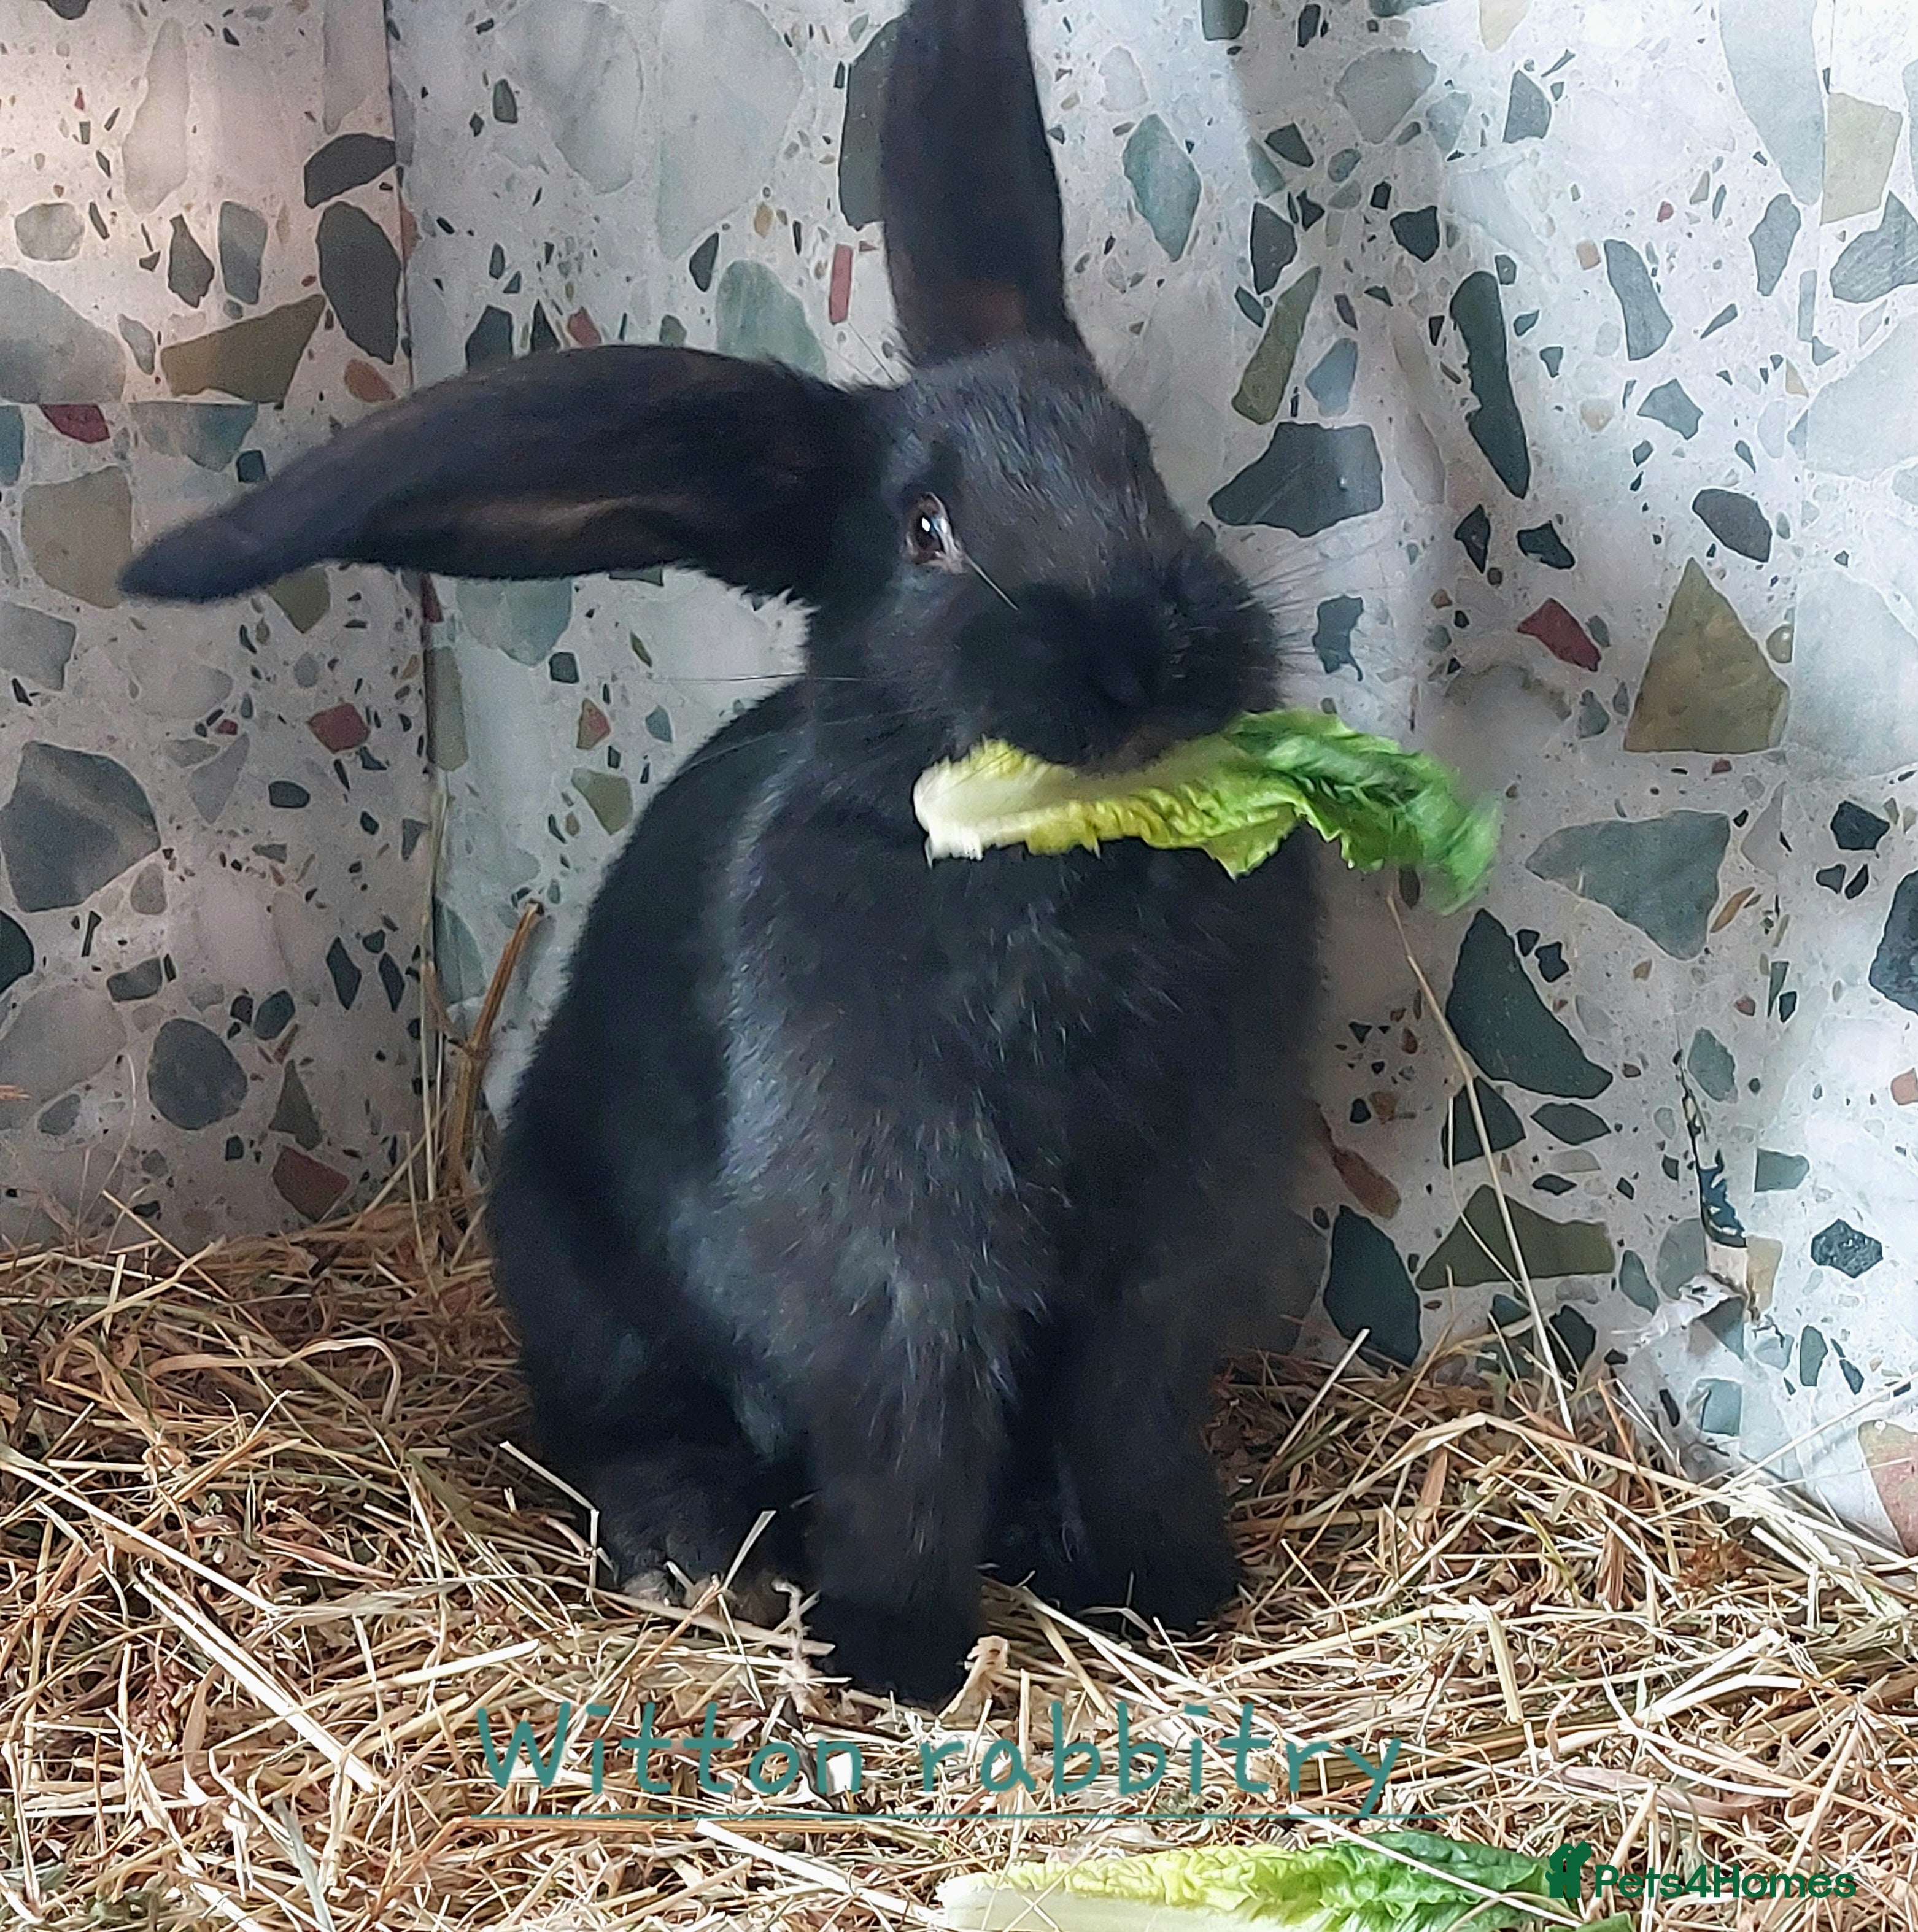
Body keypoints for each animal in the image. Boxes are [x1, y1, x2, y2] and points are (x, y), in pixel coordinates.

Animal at [121, 0, 1322, 1704]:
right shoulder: (893, 1245)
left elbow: (1127, 1408)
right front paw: (894, 1651)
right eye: (927, 533)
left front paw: (1170, 1593)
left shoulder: (1161, 1246)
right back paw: (699, 1552)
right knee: (632, 1430)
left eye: (1138, 462)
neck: (1061, 859)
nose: (1139, 653)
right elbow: (907, 1427)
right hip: (578, 1276)